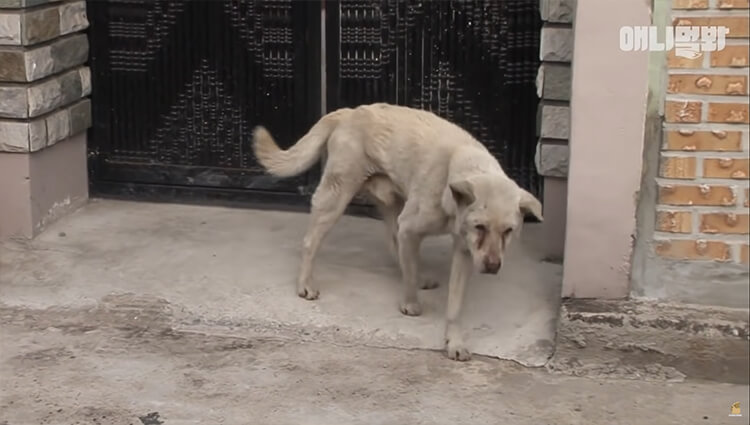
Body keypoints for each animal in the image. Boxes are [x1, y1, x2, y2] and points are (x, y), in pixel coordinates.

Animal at [256, 102, 544, 358]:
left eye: (509, 230)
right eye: (480, 226)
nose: (493, 266)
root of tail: (349, 112)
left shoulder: (464, 252)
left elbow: (454, 305)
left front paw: (454, 342)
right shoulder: (412, 227)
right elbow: (409, 275)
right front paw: (410, 303)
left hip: (392, 203)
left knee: (395, 245)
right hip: (336, 198)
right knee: (311, 241)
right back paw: (305, 284)